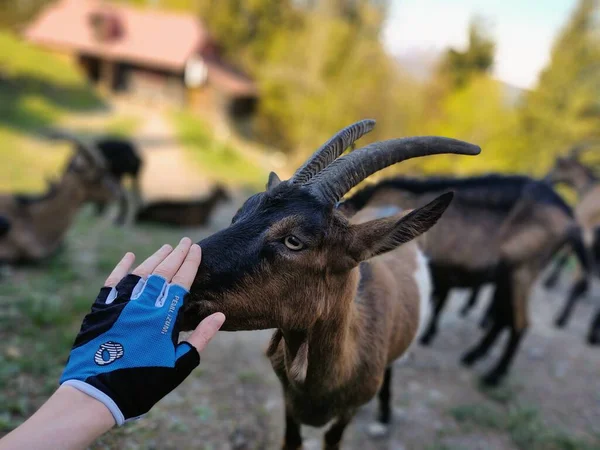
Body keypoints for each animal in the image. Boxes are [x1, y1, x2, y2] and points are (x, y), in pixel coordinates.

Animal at [340, 174, 592, 384]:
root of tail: (569, 218)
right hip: (507, 276)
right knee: (503, 317)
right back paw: (473, 356)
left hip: (522, 271)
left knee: (520, 323)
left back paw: (494, 376)